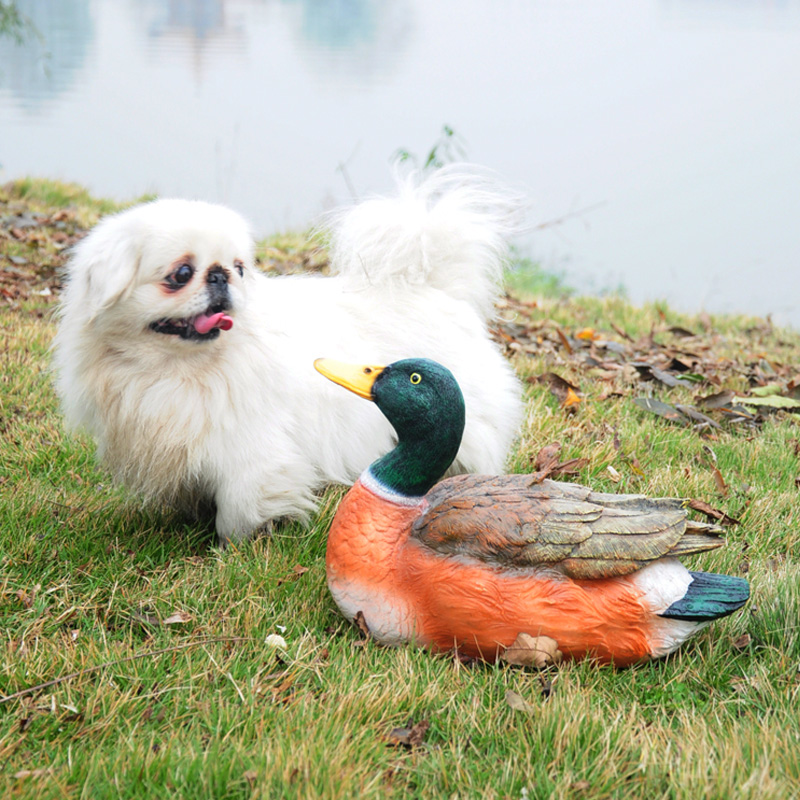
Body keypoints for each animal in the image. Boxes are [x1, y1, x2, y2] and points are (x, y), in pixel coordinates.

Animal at [51, 167, 524, 544]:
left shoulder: (253, 455)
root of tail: (435, 287)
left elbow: (239, 512)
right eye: (181, 274)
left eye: (238, 268)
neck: (175, 369)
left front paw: (232, 549)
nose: (221, 276)